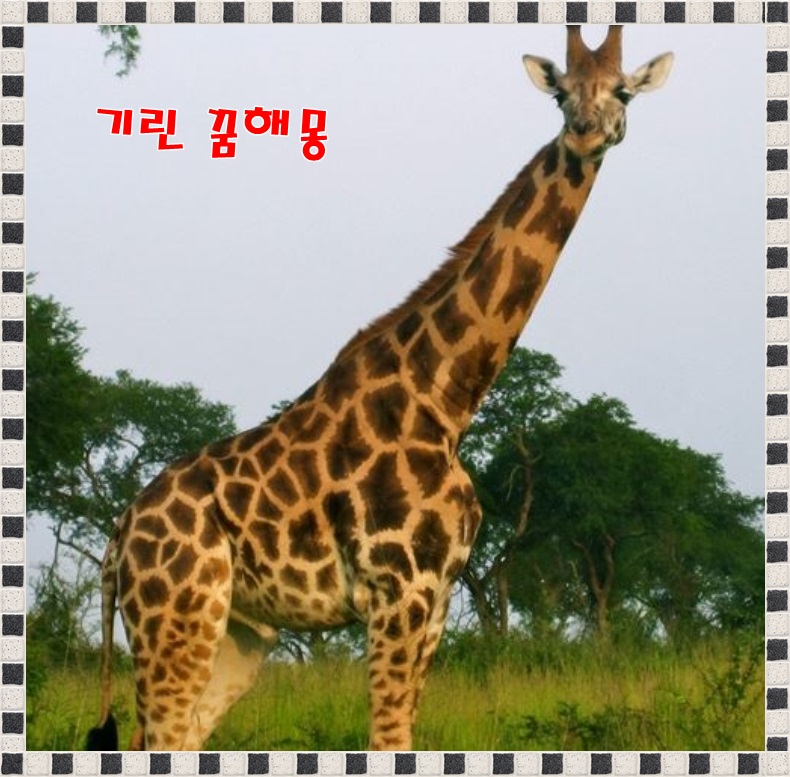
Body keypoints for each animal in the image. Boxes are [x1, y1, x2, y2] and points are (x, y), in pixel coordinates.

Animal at [86, 26, 673, 752]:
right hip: (177, 617)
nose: (588, 131)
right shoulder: (398, 592)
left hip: (240, 632)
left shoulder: (438, 599)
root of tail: (118, 536)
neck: (447, 399)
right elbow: (387, 737)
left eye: (622, 90)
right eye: (562, 93)